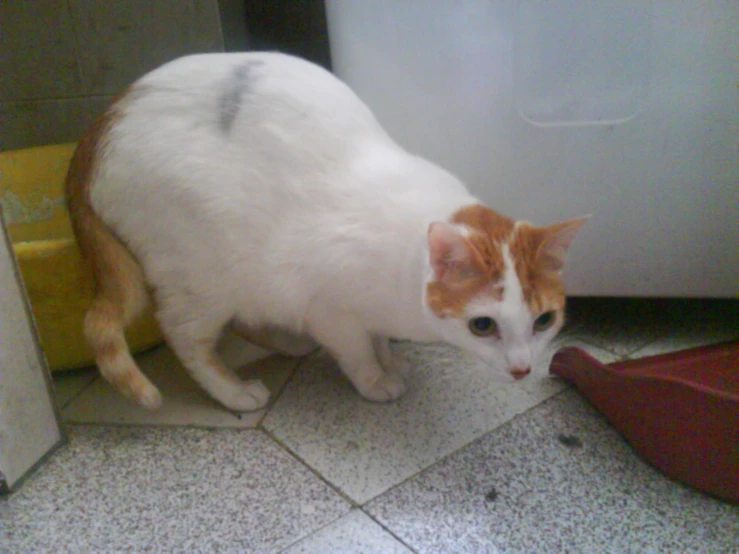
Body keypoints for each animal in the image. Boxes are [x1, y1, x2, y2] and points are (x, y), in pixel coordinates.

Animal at [66, 51, 588, 412]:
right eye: (483, 325)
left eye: (544, 320)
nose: (522, 369)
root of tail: (101, 124)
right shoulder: (328, 307)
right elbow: (356, 349)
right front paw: (376, 379)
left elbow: (378, 336)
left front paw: (389, 358)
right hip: (204, 276)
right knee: (184, 336)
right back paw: (232, 392)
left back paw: (287, 344)